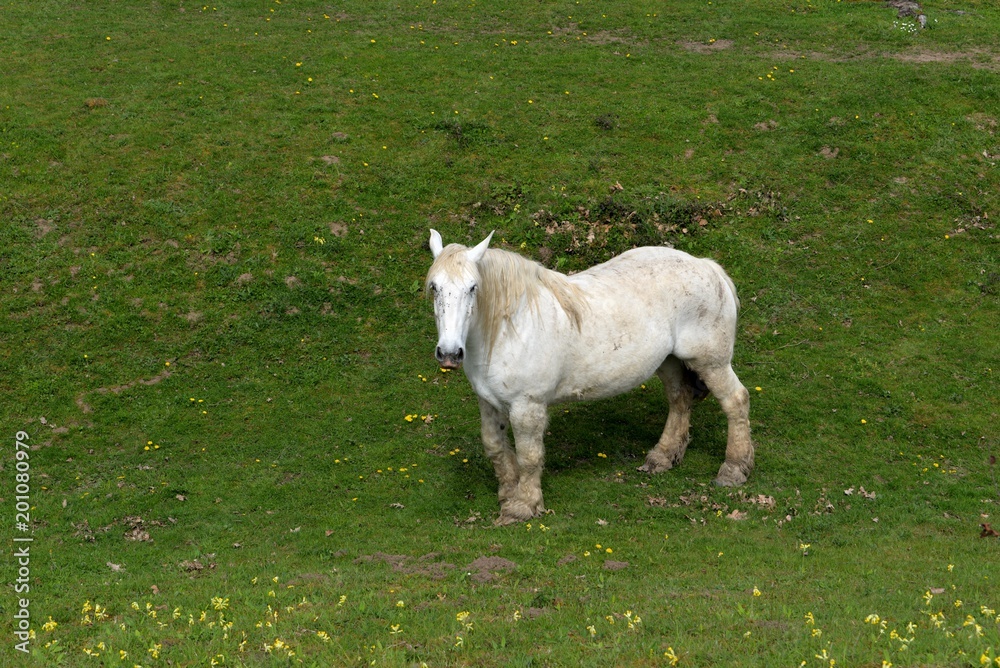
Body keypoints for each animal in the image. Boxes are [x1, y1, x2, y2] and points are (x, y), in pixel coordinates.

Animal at [425, 229, 753, 524]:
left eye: (472, 288)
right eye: (434, 288)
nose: (450, 353)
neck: (511, 326)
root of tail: (708, 267)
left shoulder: (527, 406)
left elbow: (529, 457)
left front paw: (523, 506)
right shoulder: (488, 402)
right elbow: (494, 446)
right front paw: (508, 492)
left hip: (711, 363)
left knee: (736, 401)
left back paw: (734, 469)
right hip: (670, 362)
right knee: (680, 399)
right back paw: (662, 457)